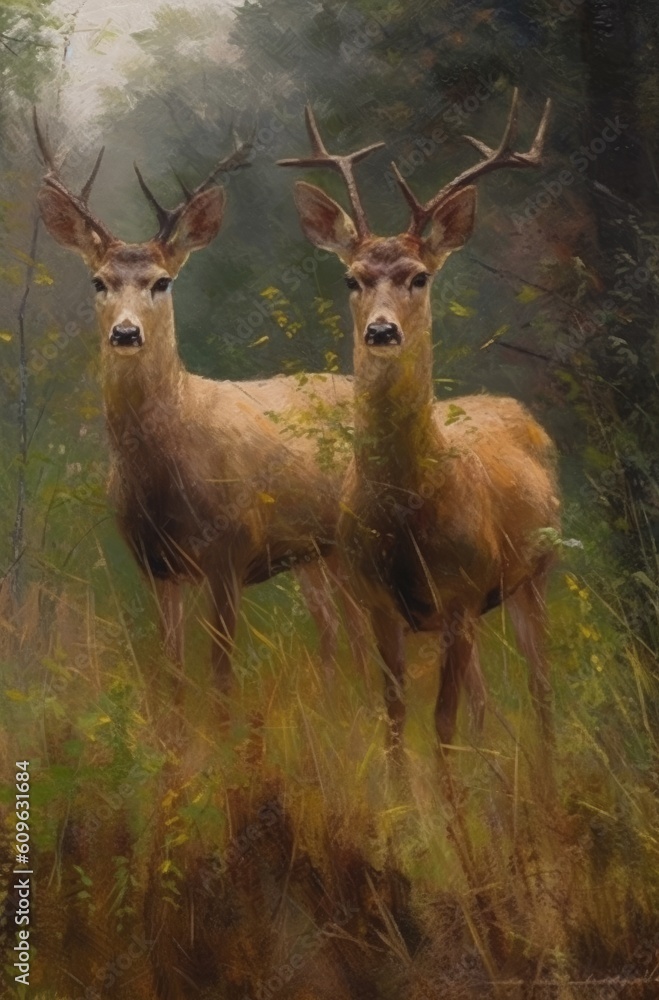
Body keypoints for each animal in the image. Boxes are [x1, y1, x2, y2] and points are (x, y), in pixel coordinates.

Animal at [34, 113, 368, 703]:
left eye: (161, 281)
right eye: (99, 281)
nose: (126, 333)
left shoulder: (229, 553)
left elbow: (220, 671)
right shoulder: (155, 566)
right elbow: (170, 671)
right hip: (312, 552)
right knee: (334, 629)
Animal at [280, 91, 561, 750]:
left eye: (420, 275)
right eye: (352, 277)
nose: (382, 331)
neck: (409, 512)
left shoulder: (460, 597)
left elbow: (442, 723)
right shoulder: (382, 605)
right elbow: (395, 720)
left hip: (533, 573)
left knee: (539, 690)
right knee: (487, 698)